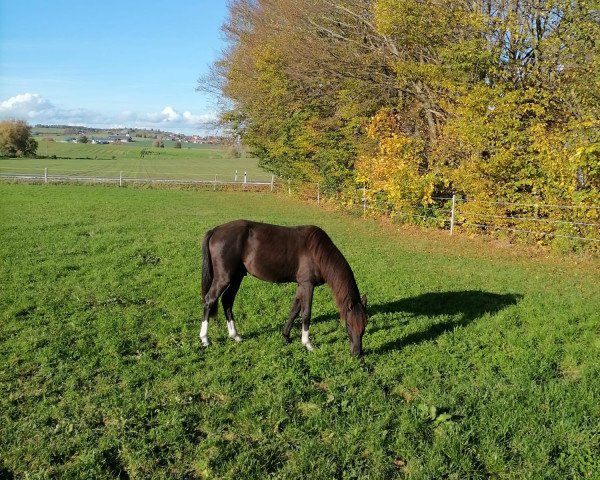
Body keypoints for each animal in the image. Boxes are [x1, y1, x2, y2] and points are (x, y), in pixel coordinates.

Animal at [200, 219, 366, 354]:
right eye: (349, 325)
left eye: (364, 325)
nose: (357, 353)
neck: (318, 252)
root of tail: (216, 230)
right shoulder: (307, 285)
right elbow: (306, 313)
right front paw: (307, 344)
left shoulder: (301, 285)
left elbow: (294, 310)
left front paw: (286, 336)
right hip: (224, 278)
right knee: (210, 300)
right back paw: (205, 339)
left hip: (237, 276)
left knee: (227, 300)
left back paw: (235, 336)